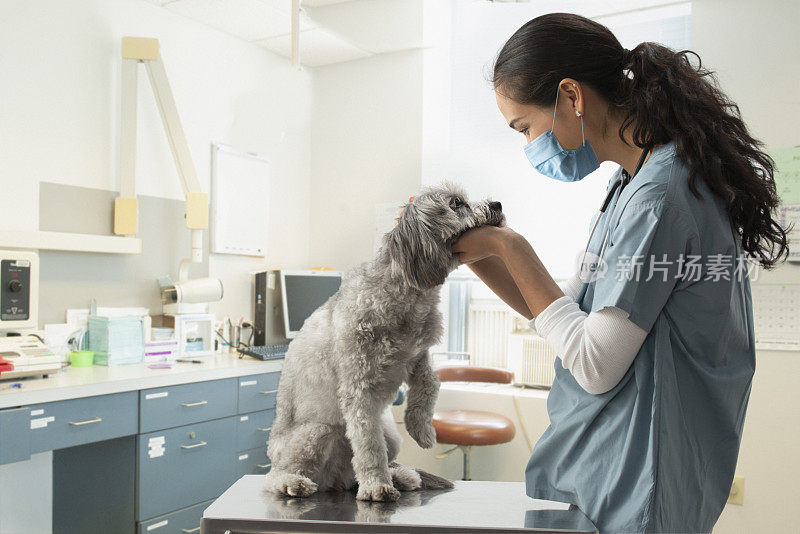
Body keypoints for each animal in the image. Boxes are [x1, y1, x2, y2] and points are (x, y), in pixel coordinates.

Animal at [264, 183, 506, 502]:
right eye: (456, 203)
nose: (498, 204)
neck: (406, 292)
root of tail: (336, 480)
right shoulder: (359, 389)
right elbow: (369, 446)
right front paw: (377, 485)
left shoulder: (418, 356)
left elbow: (431, 384)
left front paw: (422, 430)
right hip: (316, 432)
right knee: (277, 475)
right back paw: (295, 483)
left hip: (390, 434)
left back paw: (402, 476)